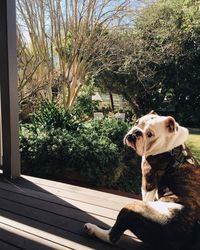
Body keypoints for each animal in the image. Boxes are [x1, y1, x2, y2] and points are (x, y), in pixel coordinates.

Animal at [84, 112, 200, 249]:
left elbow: (146, 197)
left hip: (131, 208)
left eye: (150, 134)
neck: (171, 146)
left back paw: (93, 229)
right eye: (136, 123)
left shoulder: (148, 182)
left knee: (112, 237)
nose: (136, 132)